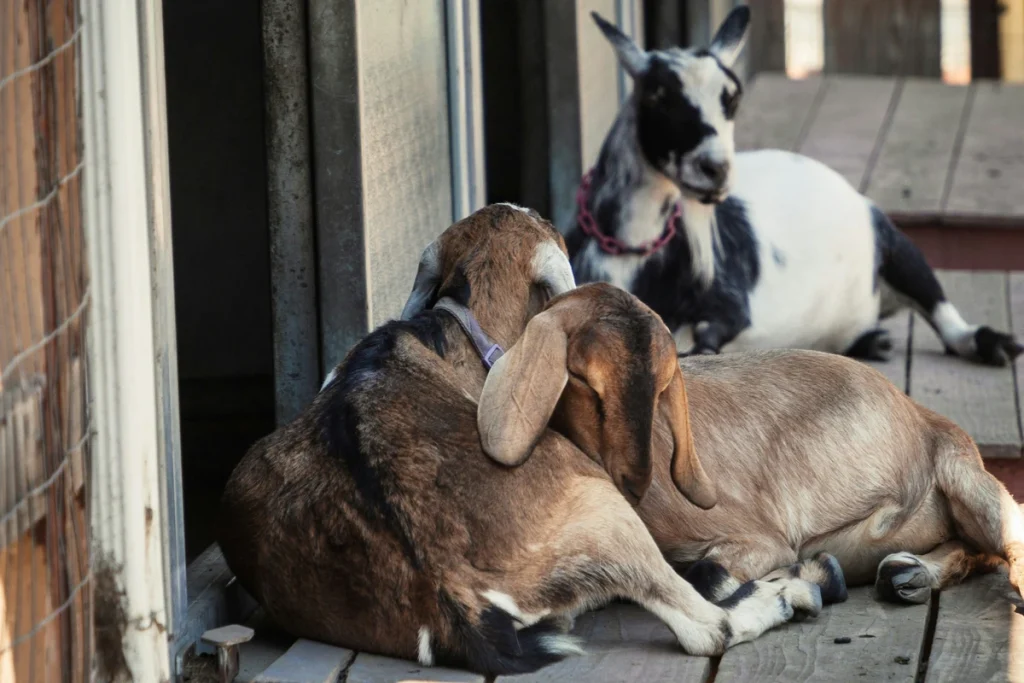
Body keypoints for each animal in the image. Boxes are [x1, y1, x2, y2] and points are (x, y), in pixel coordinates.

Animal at [479, 282, 1024, 610]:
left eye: (662, 384)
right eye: (581, 380)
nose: (636, 479)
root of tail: (926, 418)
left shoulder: (757, 535)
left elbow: (707, 573)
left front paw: (804, 578)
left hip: (968, 482)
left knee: (1001, 538)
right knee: (969, 547)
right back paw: (908, 575)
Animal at [569, 6, 1024, 368]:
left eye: (732, 98)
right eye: (656, 94)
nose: (714, 168)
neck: (631, 250)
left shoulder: (731, 307)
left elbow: (703, 340)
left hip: (897, 246)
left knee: (944, 314)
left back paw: (992, 344)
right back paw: (872, 340)